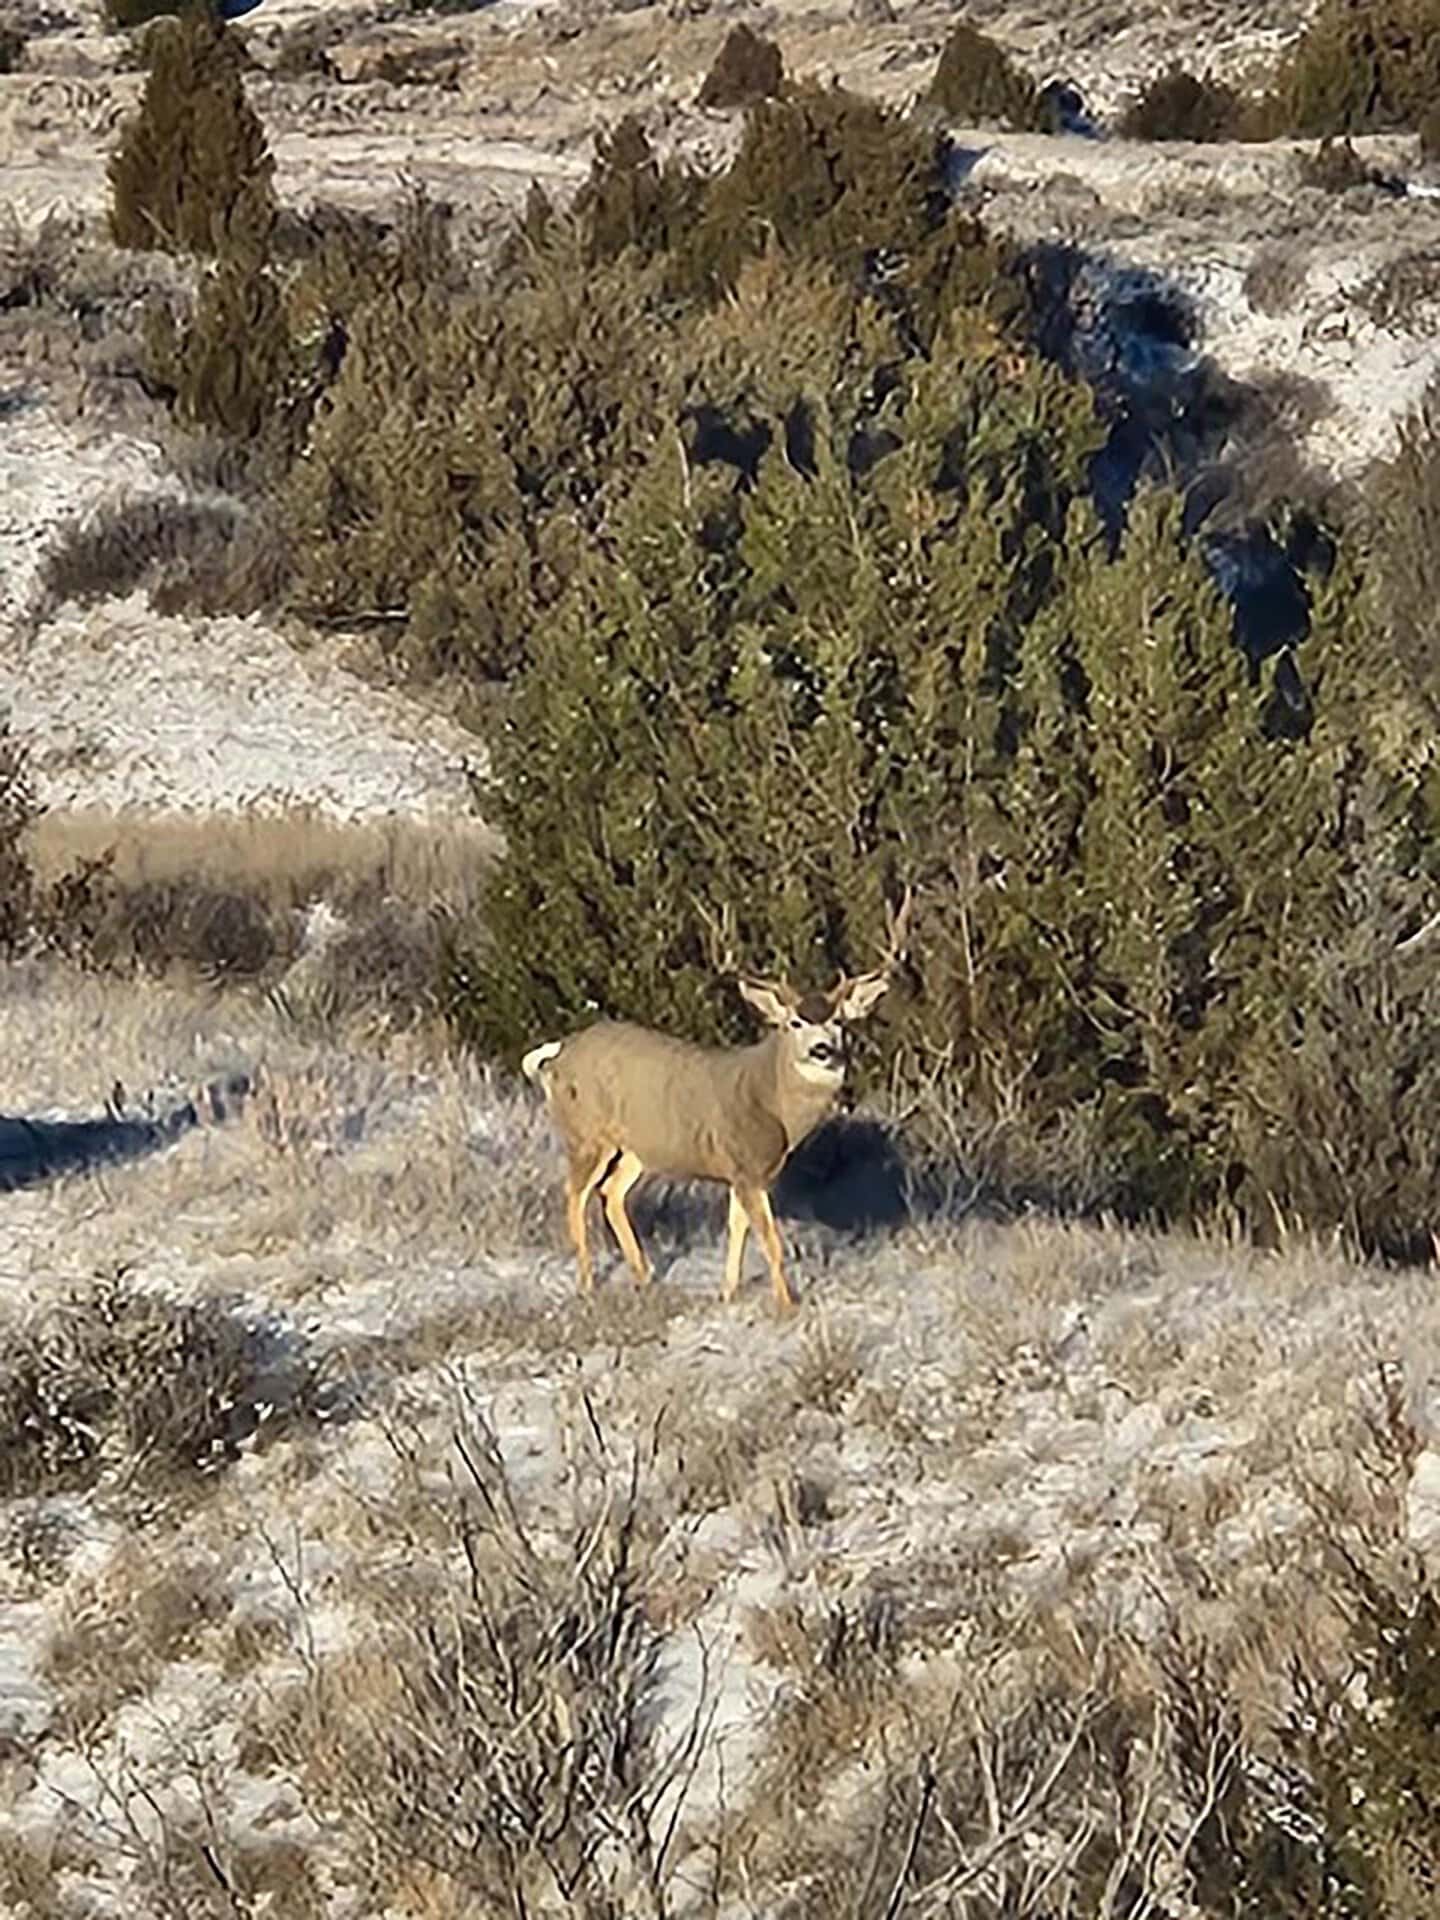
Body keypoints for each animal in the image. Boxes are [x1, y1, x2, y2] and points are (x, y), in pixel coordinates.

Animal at [520, 895, 911, 1313]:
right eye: (794, 1022)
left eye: (839, 1020)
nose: (823, 1050)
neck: (772, 1103)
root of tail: (560, 1052)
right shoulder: (745, 1164)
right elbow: (770, 1239)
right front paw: (787, 1305)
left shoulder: (746, 1173)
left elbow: (738, 1227)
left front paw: (727, 1292)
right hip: (586, 1133)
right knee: (575, 1195)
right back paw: (587, 1283)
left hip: (634, 1148)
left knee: (611, 1193)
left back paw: (643, 1275)